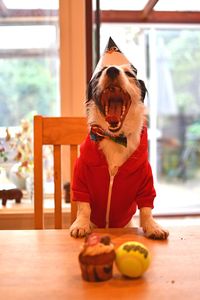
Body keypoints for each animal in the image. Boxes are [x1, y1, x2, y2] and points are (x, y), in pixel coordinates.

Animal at [70, 62, 169, 240]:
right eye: (100, 73)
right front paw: (81, 224)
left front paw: (152, 226)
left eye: (130, 73)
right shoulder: (80, 181)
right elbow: (84, 207)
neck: (115, 138)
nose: (112, 70)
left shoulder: (146, 184)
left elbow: (146, 209)